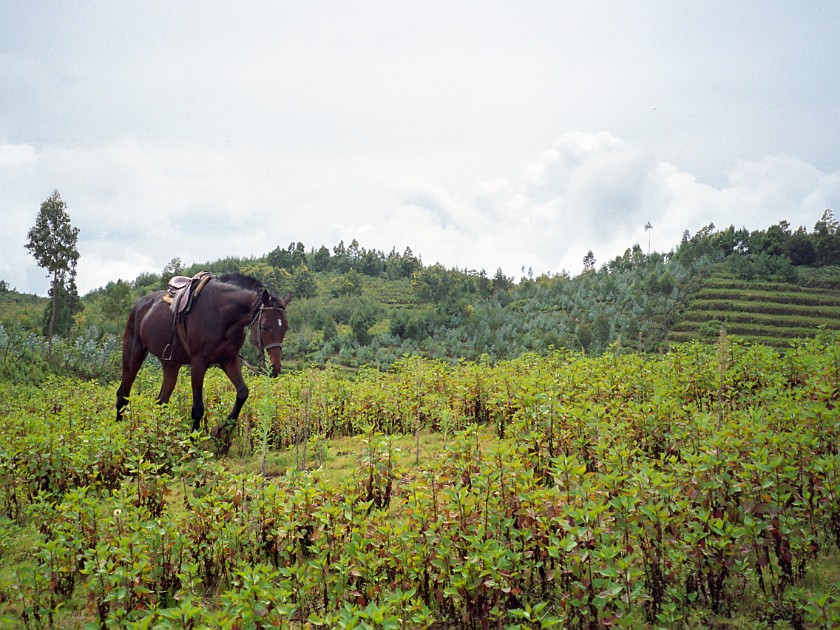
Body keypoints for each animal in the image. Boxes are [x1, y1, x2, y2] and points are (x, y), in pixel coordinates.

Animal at [116, 272, 290, 450]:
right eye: (264, 326)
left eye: (285, 328)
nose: (275, 367)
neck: (223, 315)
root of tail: (139, 305)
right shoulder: (199, 364)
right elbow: (198, 408)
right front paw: (193, 443)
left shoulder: (229, 360)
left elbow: (242, 393)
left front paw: (223, 433)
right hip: (134, 354)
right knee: (123, 394)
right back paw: (120, 433)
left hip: (170, 364)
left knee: (161, 401)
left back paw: (162, 438)